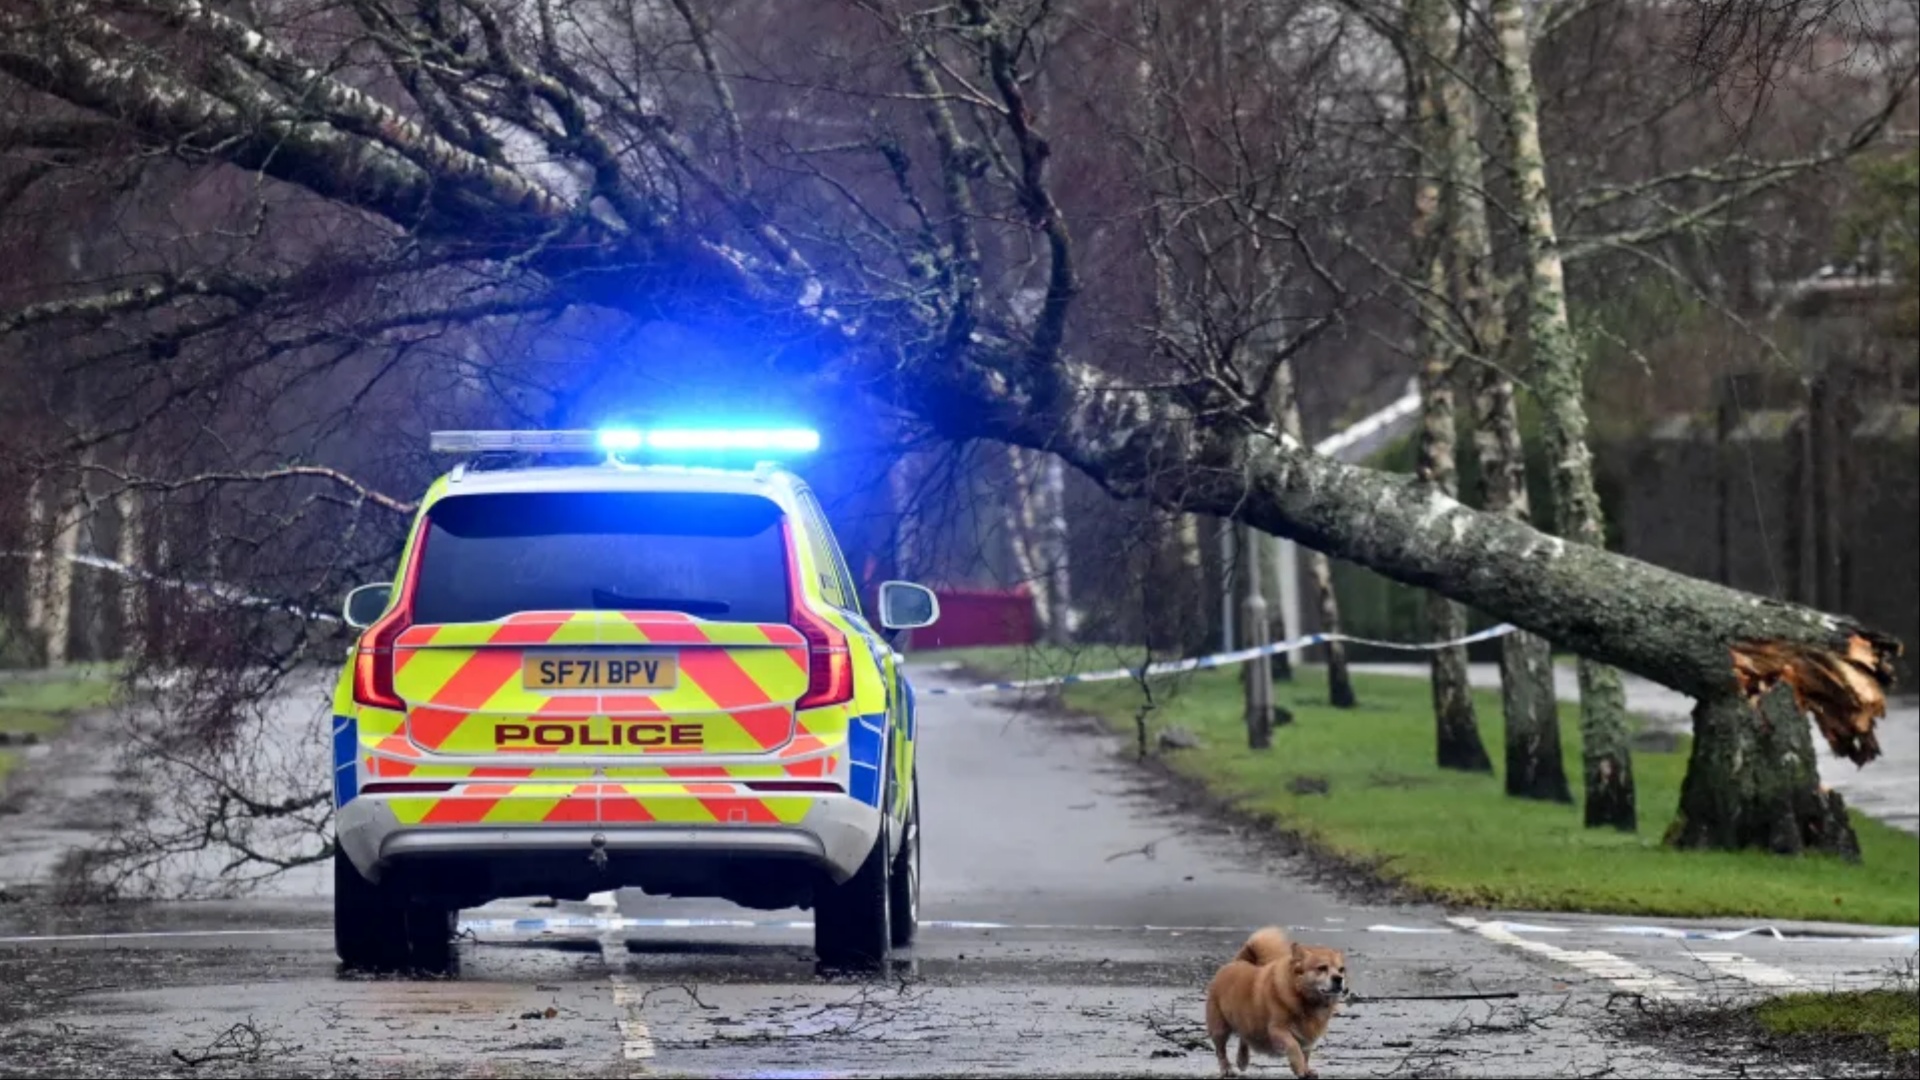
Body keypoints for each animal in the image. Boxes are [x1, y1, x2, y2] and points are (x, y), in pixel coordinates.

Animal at [1198, 922, 1351, 1068]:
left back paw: (1242, 1060)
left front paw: (1306, 1070)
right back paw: (1227, 1069)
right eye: (1322, 968)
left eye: (1341, 970)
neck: (1301, 996)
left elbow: (1305, 1056)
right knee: (1220, 1051)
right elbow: (1294, 1047)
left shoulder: (1307, 1040)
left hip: (1246, 1024)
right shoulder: (1278, 1030)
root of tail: (1236, 962)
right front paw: (1300, 1069)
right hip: (1219, 1028)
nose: (1338, 978)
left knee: (1244, 1037)